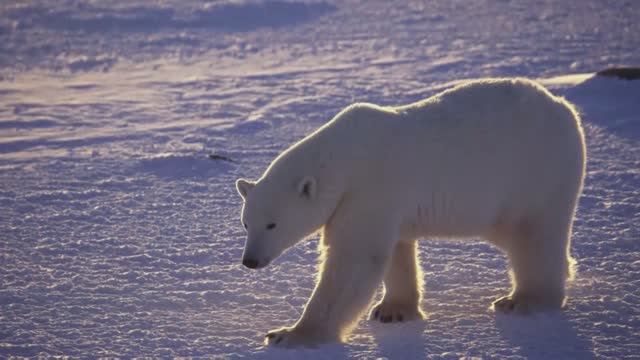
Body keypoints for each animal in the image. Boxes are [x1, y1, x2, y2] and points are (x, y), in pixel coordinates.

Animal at [234, 77, 584, 348]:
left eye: (273, 224)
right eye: (246, 223)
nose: (250, 261)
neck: (344, 158)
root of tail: (565, 109)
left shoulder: (369, 189)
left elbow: (354, 258)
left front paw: (290, 335)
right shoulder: (385, 202)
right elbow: (395, 251)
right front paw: (393, 310)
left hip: (534, 173)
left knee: (533, 236)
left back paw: (523, 300)